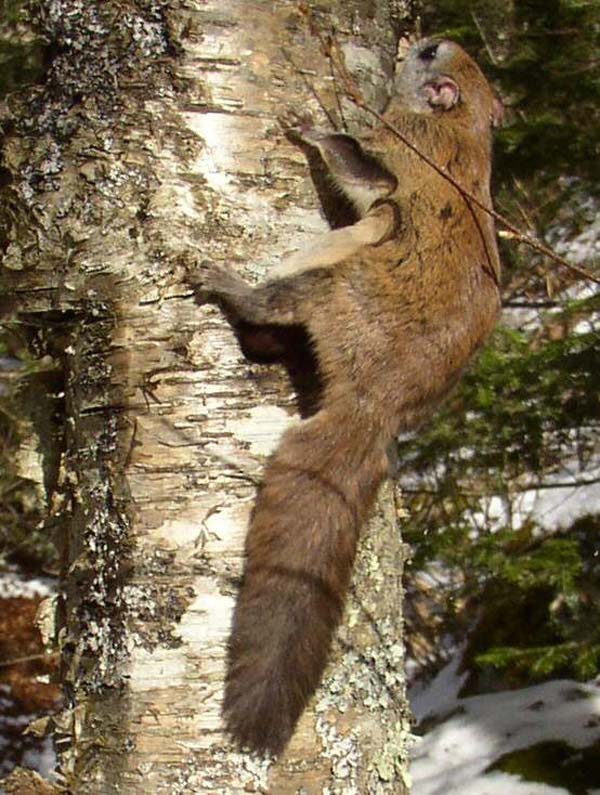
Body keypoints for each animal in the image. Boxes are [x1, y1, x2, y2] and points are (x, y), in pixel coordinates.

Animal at [185, 38, 504, 760]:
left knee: (273, 309)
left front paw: (306, 119)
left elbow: (353, 162)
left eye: (428, 53)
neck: (460, 126)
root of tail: (374, 407)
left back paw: (228, 286)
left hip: (333, 283)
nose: (416, 37)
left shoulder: (396, 158)